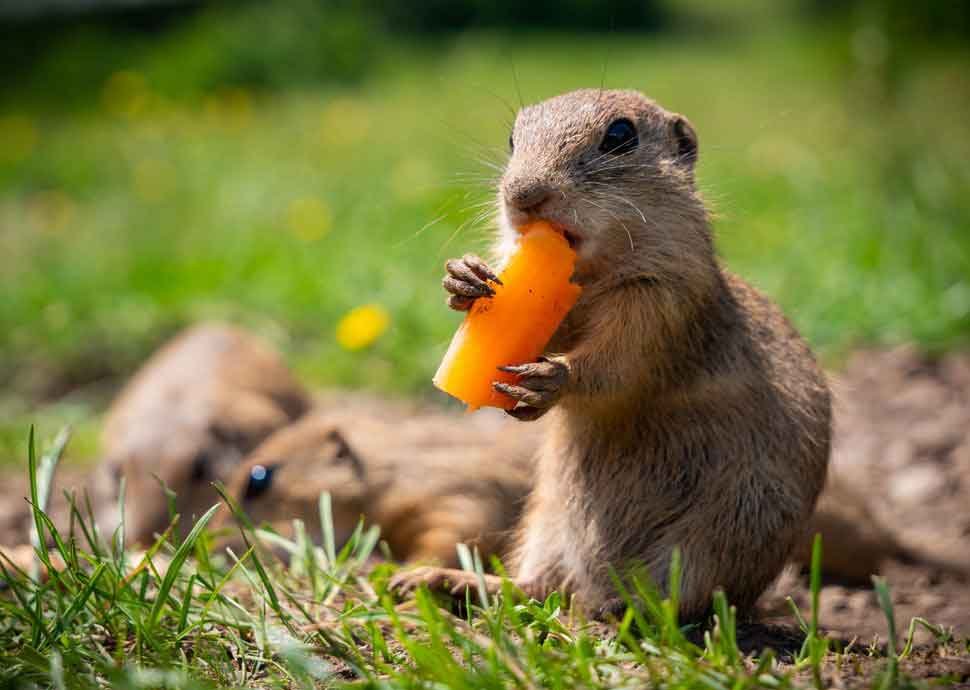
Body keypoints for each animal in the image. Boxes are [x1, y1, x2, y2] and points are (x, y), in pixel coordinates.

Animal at [394, 86, 832, 620]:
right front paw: (464, 278)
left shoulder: (659, 302)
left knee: (674, 602)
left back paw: (621, 610)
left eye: (621, 135)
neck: (594, 272)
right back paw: (444, 582)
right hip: (547, 523)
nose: (522, 196)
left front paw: (551, 380)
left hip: (715, 539)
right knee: (537, 589)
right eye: (513, 138)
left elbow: (618, 364)